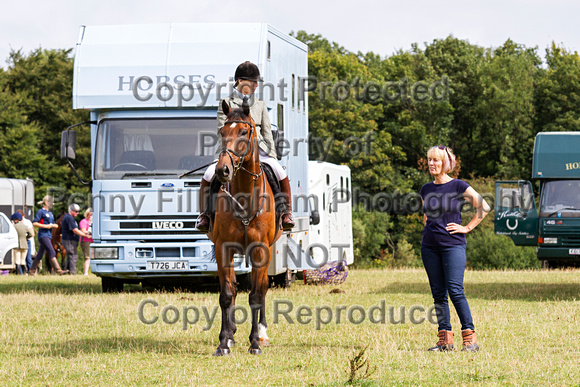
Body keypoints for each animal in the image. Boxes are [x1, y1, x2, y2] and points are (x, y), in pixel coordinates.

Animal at [206, 101, 284, 358]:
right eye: (222, 132)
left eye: (243, 132)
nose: (223, 171)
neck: (245, 197)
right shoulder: (223, 249)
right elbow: (227, 294)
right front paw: (223, 342)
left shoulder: (261, 250)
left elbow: (256, 295)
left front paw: (255, 343)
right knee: (232, 286)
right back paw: (231, 335)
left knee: (263, 287)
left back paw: (262, 333)